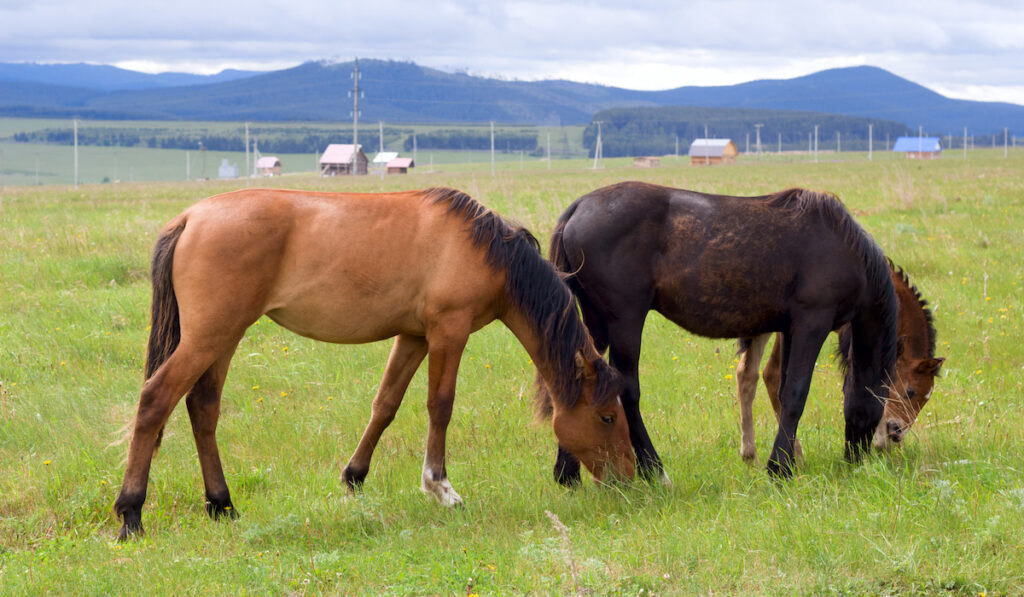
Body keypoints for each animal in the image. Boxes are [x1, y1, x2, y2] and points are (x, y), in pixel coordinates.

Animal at [116, 188, 634, 540]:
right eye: (608, 417)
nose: (630, 480)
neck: (489, 251)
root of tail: (190, 218)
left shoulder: (413, 336)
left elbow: (385, 404)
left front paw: (354, 477)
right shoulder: (448, 331)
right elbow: (440, 406)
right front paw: (440, 488)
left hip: (223, 337)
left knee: (202, 408)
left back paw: (222, 505)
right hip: (208, 337)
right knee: (156, 399)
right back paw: (131, 512)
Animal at [544, 182, 897, 485]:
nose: (857, 457)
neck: (844, 246)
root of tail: (579, 207)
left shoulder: (789, 328)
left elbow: (782, 389)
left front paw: (786, 460)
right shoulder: (812, 323)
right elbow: (796, 394)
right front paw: (779, 468)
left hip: (595, 324)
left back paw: (568, 473)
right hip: (625, 322)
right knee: (628, 391)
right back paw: (654, 469)